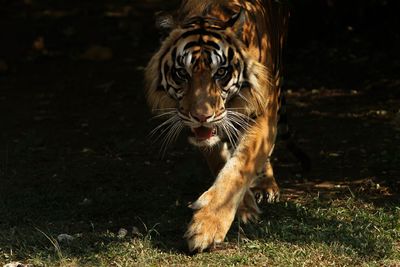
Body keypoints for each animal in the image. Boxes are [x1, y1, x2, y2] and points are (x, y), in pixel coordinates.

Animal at [145, 0, 296, 252]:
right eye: (182, 73)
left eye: (221, 72)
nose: (201, 116)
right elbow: (219, 160)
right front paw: (245, 207)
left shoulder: (263, 111)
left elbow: (240, 166)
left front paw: (206, 226)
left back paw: (266, 187)